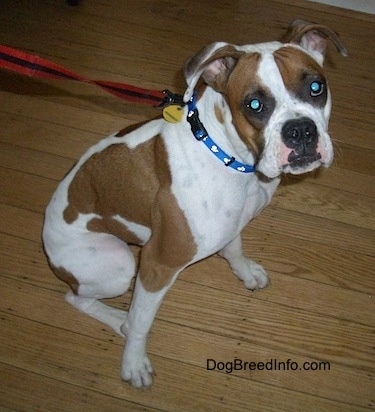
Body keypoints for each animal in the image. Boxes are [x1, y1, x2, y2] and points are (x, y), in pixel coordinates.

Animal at [42, 18, 348, 386]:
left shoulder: (232, 222)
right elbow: (143, 321)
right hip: (118, 264)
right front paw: (133, 363)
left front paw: (246, 273)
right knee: (78, 298)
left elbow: (234, 249)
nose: (300, 130)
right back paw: (120, 321)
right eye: (254, 105)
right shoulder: (157, 264)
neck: (229, 157)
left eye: (316, 87)